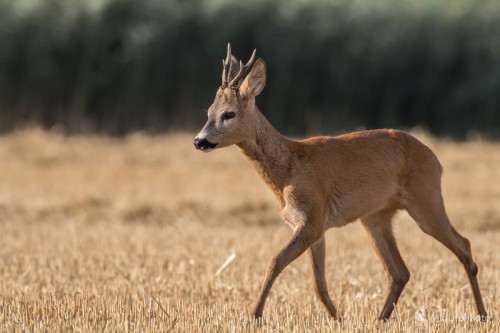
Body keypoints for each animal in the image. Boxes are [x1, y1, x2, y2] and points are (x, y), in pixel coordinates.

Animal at [192, 42, 488, 320]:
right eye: (208, 111)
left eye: (229, 114)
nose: (199, 141)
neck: (288, 171)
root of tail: (435, 159)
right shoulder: (312, 224)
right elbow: (319, 283)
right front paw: (339, 319)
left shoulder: (312, 217)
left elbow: (275, 262)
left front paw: (254, 315)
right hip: (375, 216)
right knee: (400, 272)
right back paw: (379, 320)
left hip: (426, 199)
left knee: (464, 246)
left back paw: (482, 315)